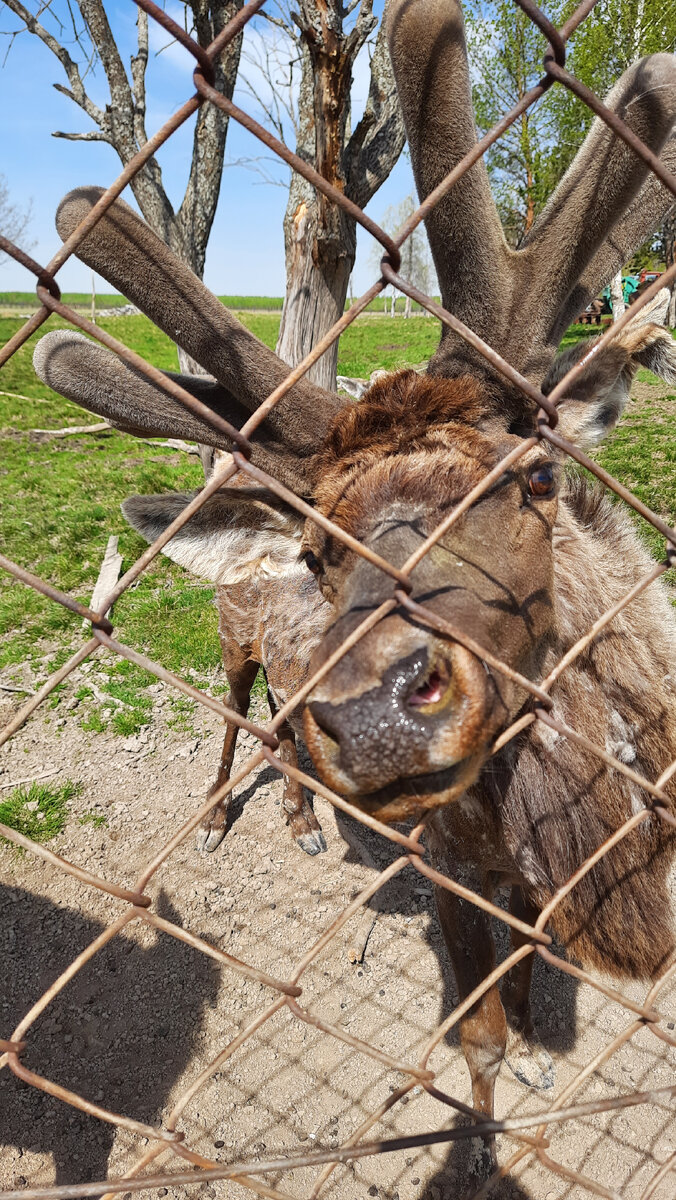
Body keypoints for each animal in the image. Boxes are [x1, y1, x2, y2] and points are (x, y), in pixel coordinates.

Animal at [31, 0, 676, 1180]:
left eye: (538, 476)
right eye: (319, 549)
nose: (375, 709)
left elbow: (526, 989)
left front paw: (538, 1059)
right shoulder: (454, 865)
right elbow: (474, 1032)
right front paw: (481, 1141)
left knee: (285, 735)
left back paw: (301, 818)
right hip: (232, 648)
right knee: (242, 721)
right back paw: (227, 817)